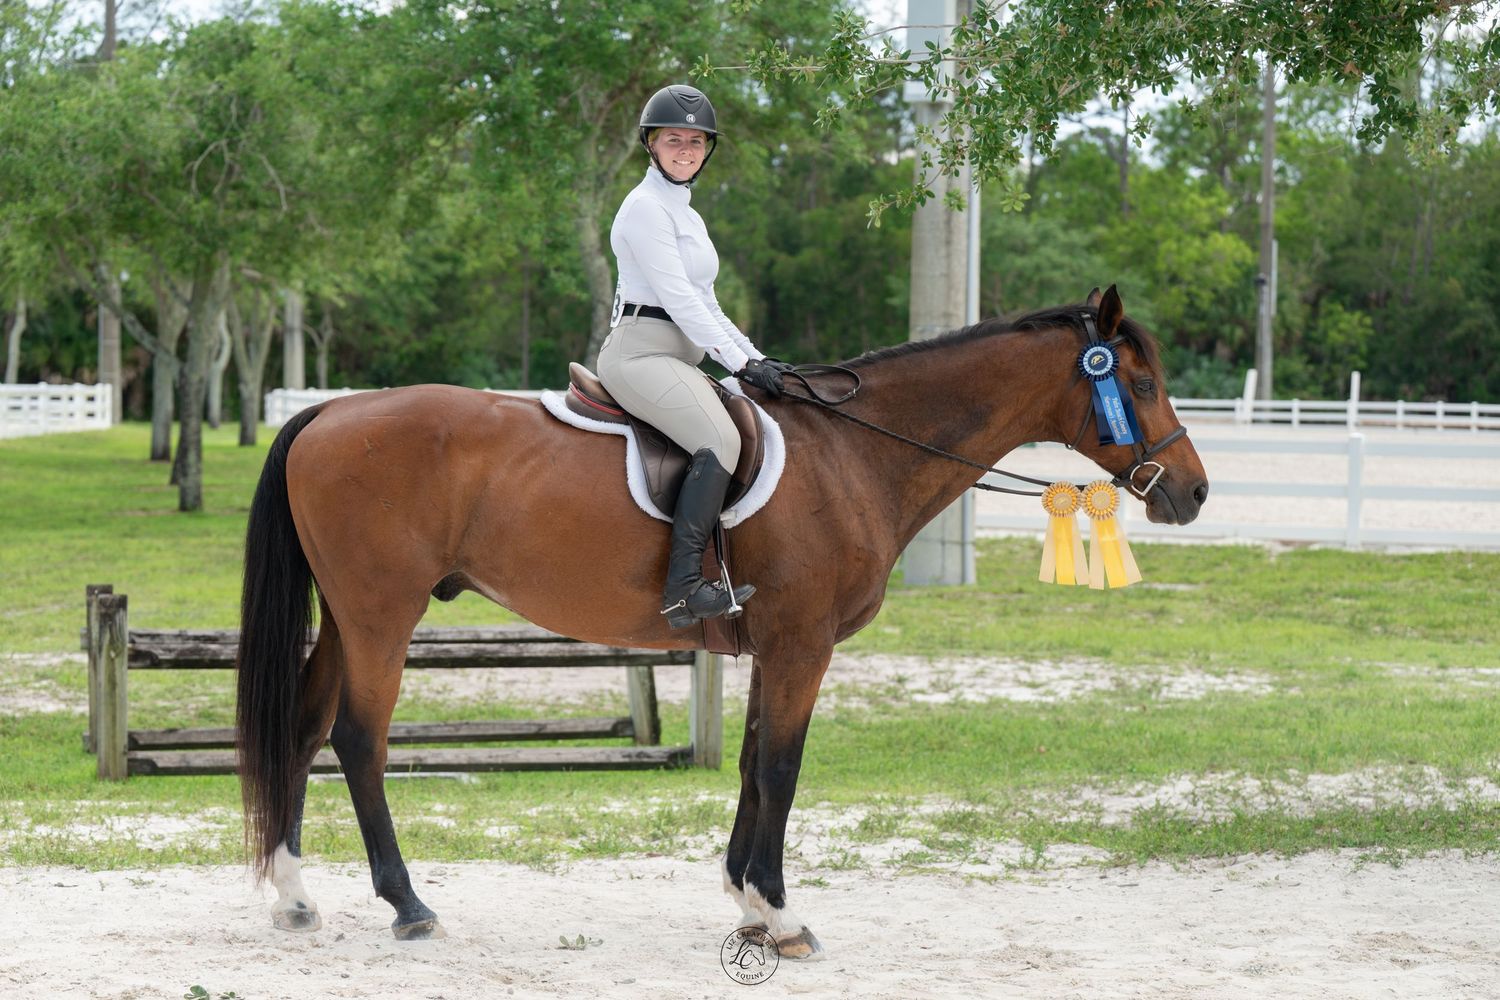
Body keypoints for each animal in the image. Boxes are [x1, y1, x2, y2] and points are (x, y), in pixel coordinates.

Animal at [235, 285, 1208, 958]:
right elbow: (781, 767)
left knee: (305, 725)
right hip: (381, 615)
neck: (853, 453)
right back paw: (408, 906)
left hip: (347, 617)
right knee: (358, 739)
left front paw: (745, 905)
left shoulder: (772, 646)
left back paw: (293, 897)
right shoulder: (803, 645)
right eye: (1140, 381)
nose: (1193, 493)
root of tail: (330, 410)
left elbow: (750, 763)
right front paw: (781, 916)